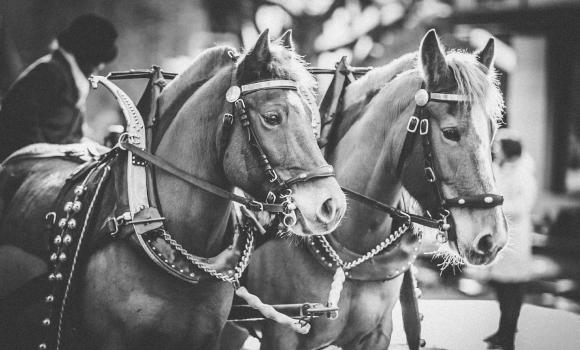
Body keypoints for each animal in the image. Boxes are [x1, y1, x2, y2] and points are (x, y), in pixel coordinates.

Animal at [236, 30, 508, 350]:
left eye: (493, 131)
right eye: (451, 133)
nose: (491, 237)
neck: (354, 246)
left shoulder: (377, 334)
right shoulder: (282, 333)